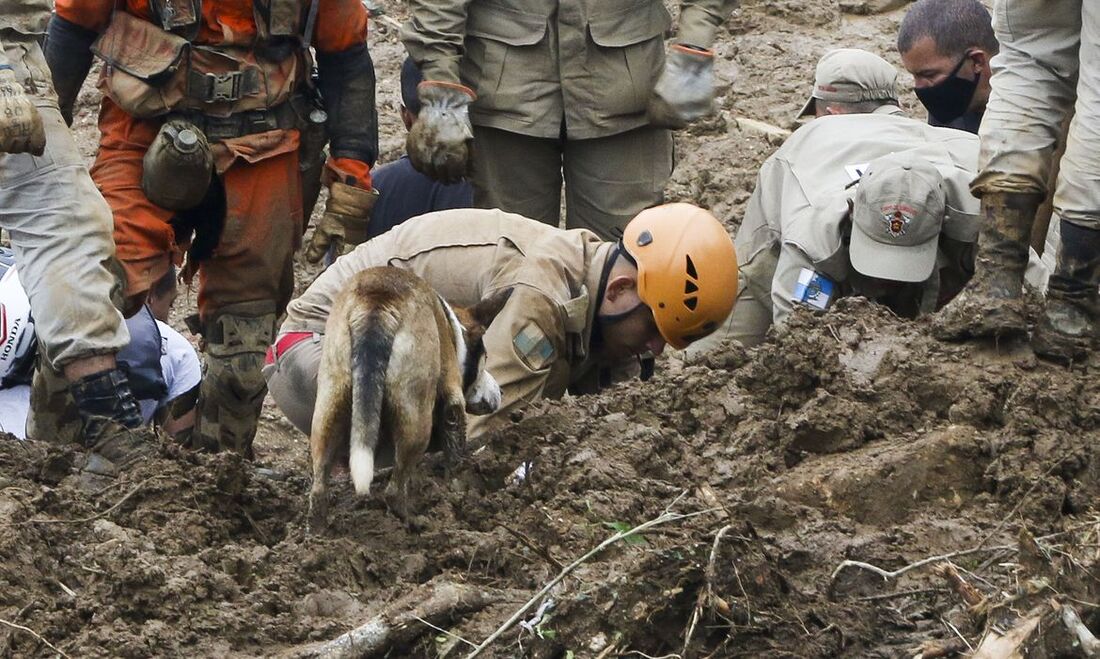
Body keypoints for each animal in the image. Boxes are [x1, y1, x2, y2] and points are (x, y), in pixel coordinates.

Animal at [308, 265, 508, 528]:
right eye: (484, 361)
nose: (500, 392)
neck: (453, 330)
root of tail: (377, 303)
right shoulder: (452, 401)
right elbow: (454, 449)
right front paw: (456, 490)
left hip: (330, 402)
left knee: (319, 486)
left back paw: (316, 533)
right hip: (416, 418)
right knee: (393, 490)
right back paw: (413, 521)